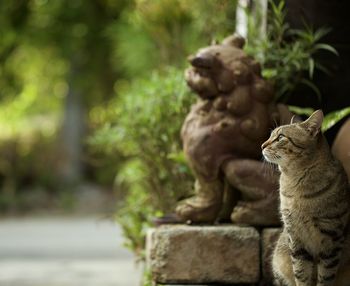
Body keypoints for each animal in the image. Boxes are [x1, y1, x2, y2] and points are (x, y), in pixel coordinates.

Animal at [262, 110, 350, 286]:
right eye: (270, 135)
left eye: (280, 137)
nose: (262, 145)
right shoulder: (296, 238)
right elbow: (301, 274)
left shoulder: (332, 240)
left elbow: (325, 277)